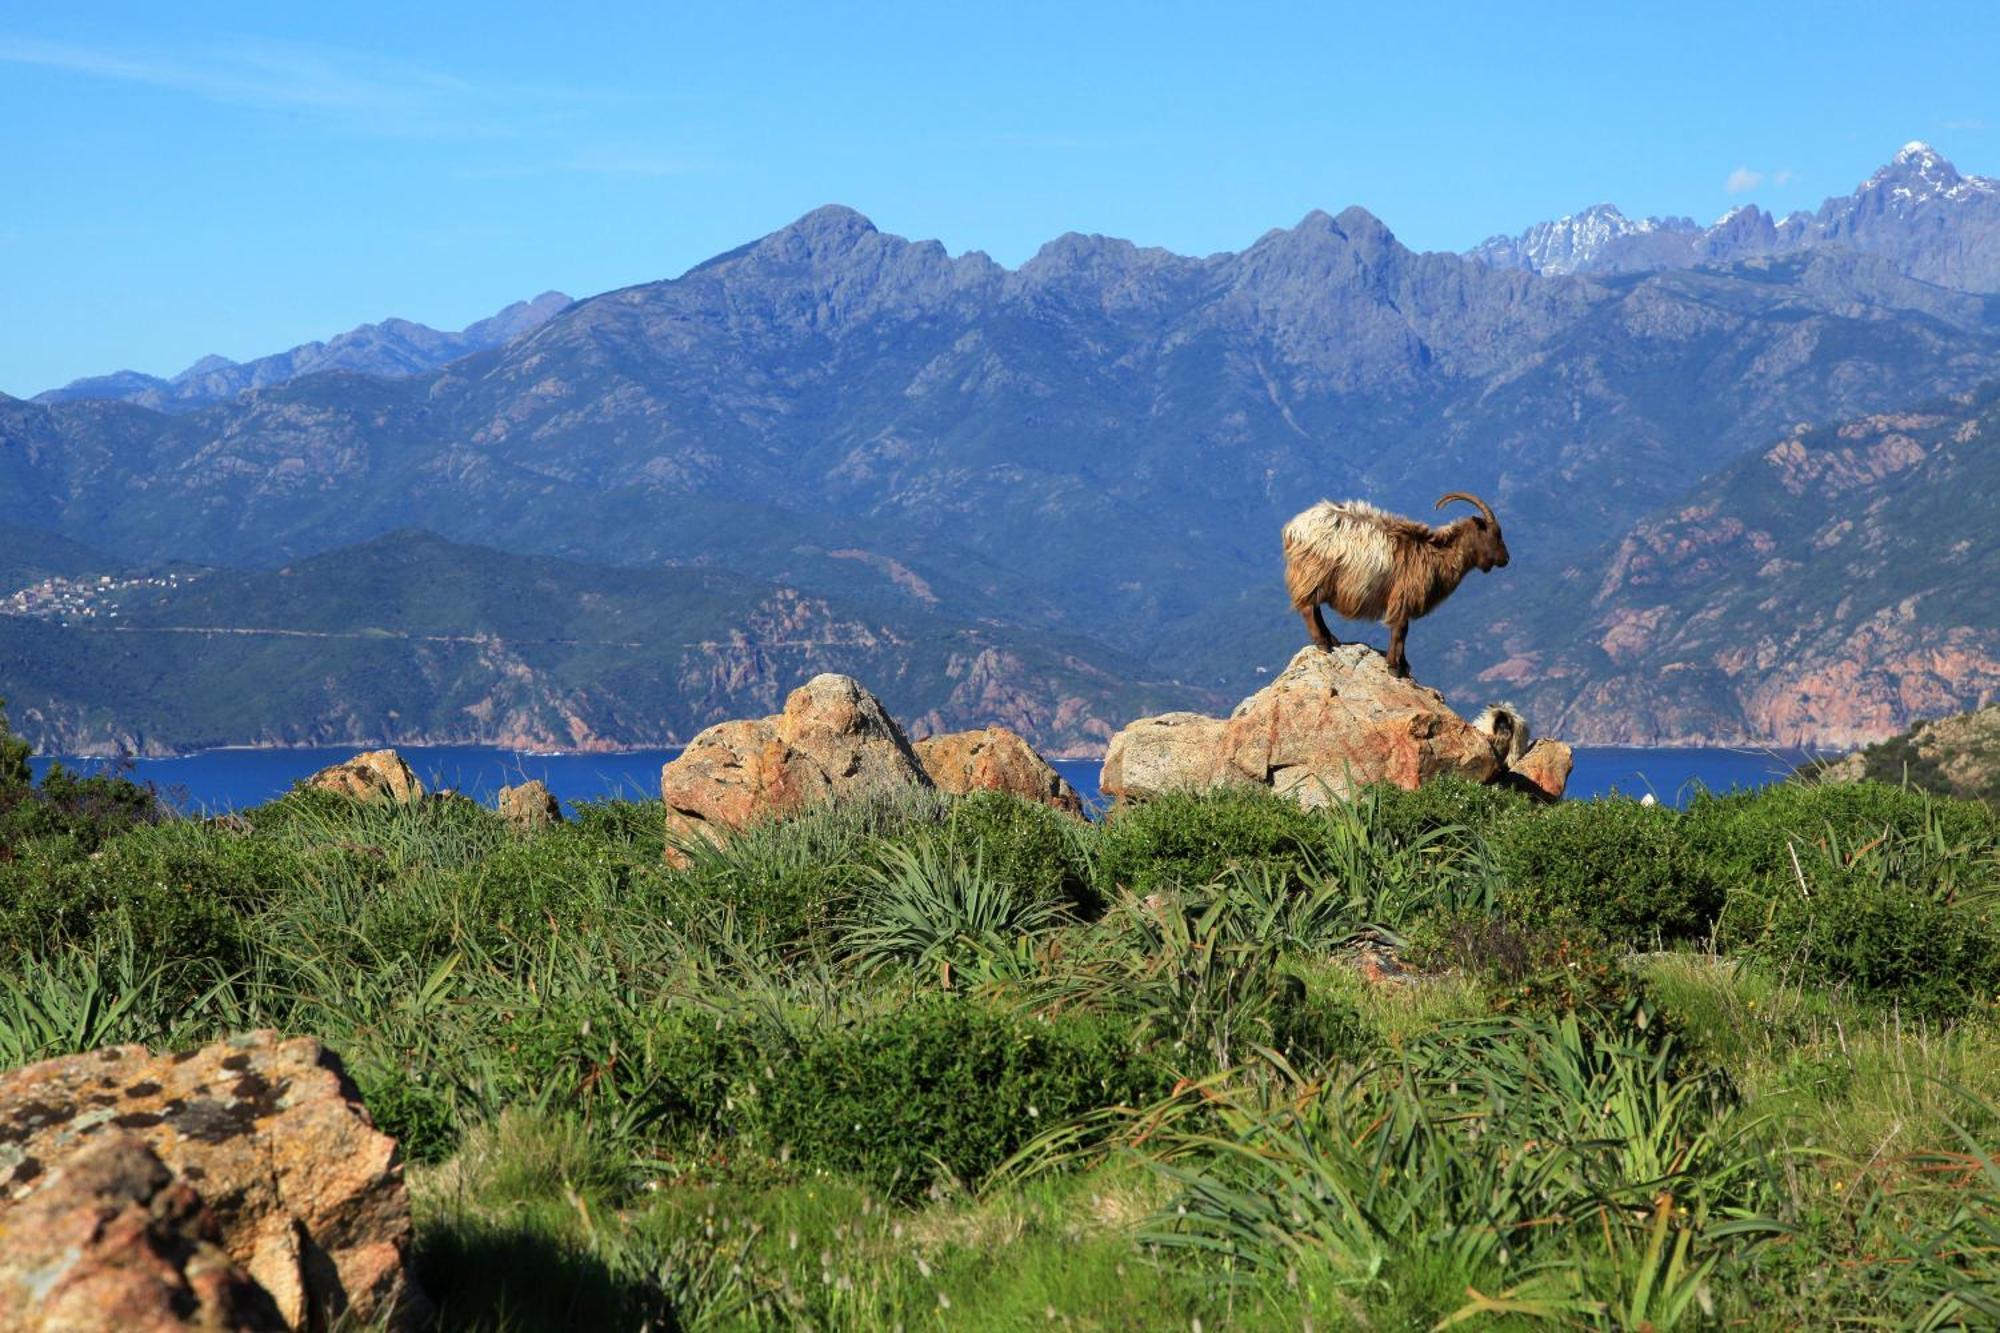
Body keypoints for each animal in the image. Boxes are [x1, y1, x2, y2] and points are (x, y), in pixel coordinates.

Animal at [1288, 488, 1504, 676]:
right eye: (1495, 534)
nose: (1506, 559)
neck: (1436, 554)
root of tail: (1293, 528)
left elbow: (1402, 631)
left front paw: (1403, 666)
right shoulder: (1403, 597)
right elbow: (1400, 631)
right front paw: (1395, 667)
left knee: (1314, 608)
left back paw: (1331, 639)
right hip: (1312, 574)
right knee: (1308, 608)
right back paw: (1323, 643)